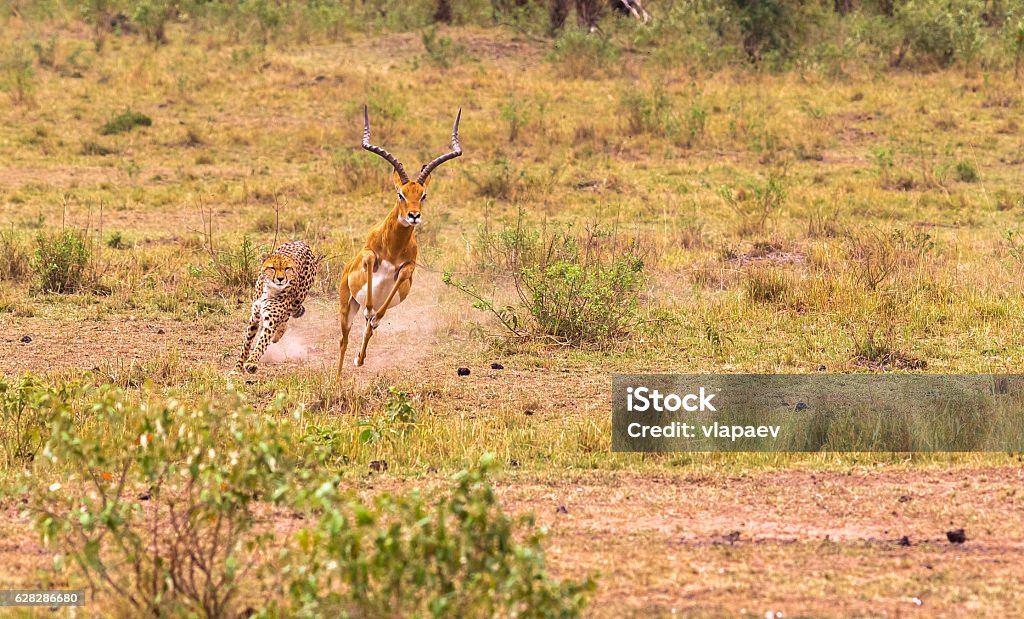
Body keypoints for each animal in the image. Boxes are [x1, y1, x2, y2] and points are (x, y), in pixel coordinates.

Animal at [235, 240, 315, 375]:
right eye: (272, 268)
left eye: (287, 268)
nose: (281, 279)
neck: (269, 289)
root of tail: (301, 241)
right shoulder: (254, 317)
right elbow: (246, 344)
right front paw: (236, 369)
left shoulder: (271, 321)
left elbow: (262, 343)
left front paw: (251, 363)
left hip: (298, 299)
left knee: (287, 316)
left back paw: (278, 334)